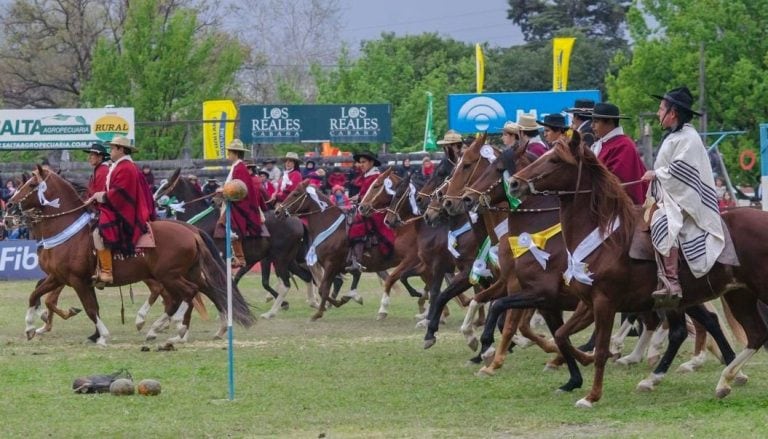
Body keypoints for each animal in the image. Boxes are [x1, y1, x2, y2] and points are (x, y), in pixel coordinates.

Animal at [5, 166, 255, 348]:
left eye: (32, 184)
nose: (9, 207)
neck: (68, 231)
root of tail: (191, 231)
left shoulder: (77, 280)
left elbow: (90, 308)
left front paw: (102, 336)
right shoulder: (58, 277)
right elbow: (35, 295)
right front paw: (30, 327)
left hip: (169, 275)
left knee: (186, 294)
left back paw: (171, 330)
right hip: (186, 272)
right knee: (203, 291)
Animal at [508, 134, 764, 410]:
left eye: (555, 159)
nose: (514, 183)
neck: (606, 240)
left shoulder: (604, 303)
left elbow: (599, 349)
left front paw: (592, 395)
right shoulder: (587, 303)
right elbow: (561, 335)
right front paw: (580, 365)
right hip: (738, 295)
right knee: (753, 335)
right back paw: (718, 381)